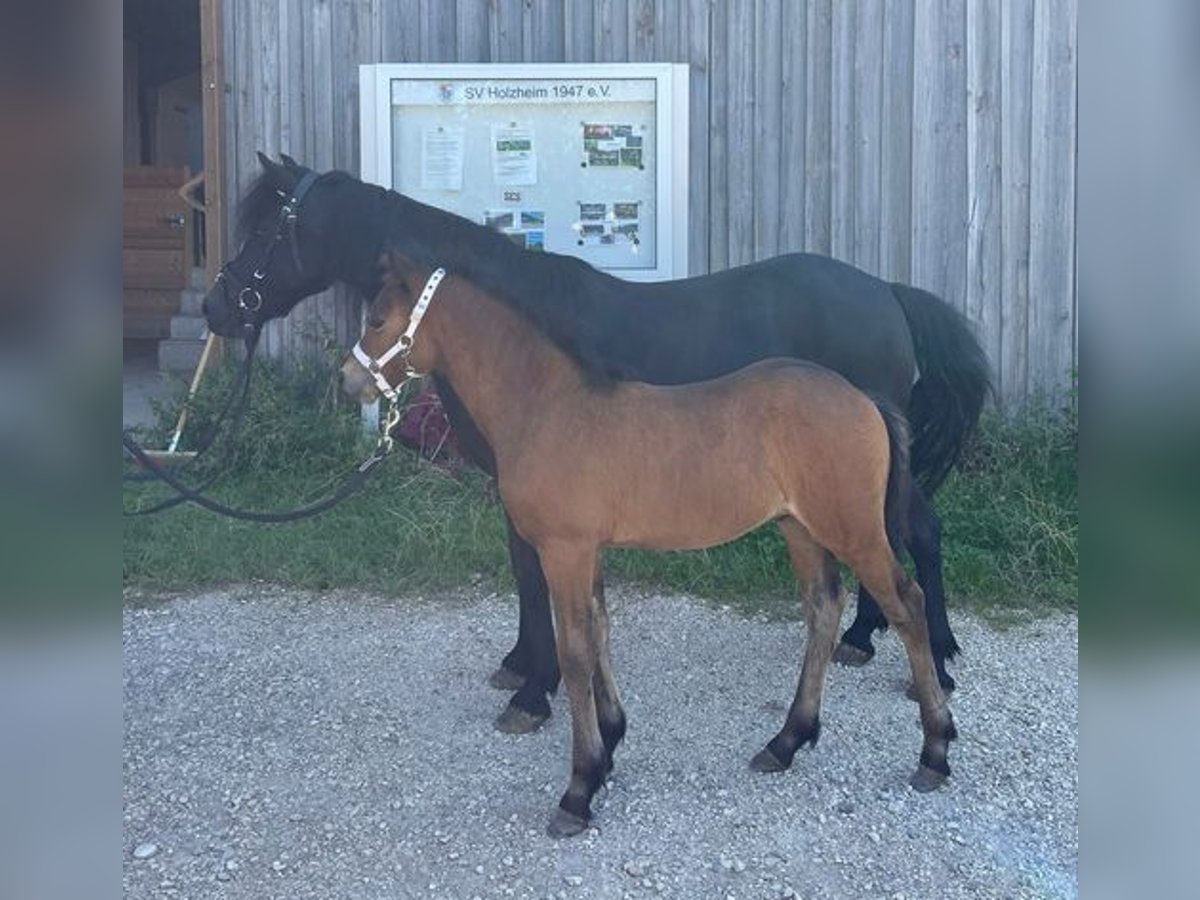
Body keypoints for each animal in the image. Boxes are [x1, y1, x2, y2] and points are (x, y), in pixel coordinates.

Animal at [204, 153, 989, 734]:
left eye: (265, 230)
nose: (217, 306)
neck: (511, 332)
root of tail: (885, 291)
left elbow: (533, 578)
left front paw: (534, 692)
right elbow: (526, 576)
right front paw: (523, 666)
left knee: (915, 531)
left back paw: (934, 659)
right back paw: (866, 637)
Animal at [341, 251, 957, 837]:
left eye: (377, 319)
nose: (348, 380)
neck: (547, 406)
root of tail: (863, 398)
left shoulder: (564, 550)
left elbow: (574, 652)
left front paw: (579, 789)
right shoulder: (586, 551)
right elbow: (599, 632)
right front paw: (610, 744)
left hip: (854, 530)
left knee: (906, 604)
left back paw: (934, 749)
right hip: (799, 527)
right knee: (824, 607)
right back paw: (785, 742)